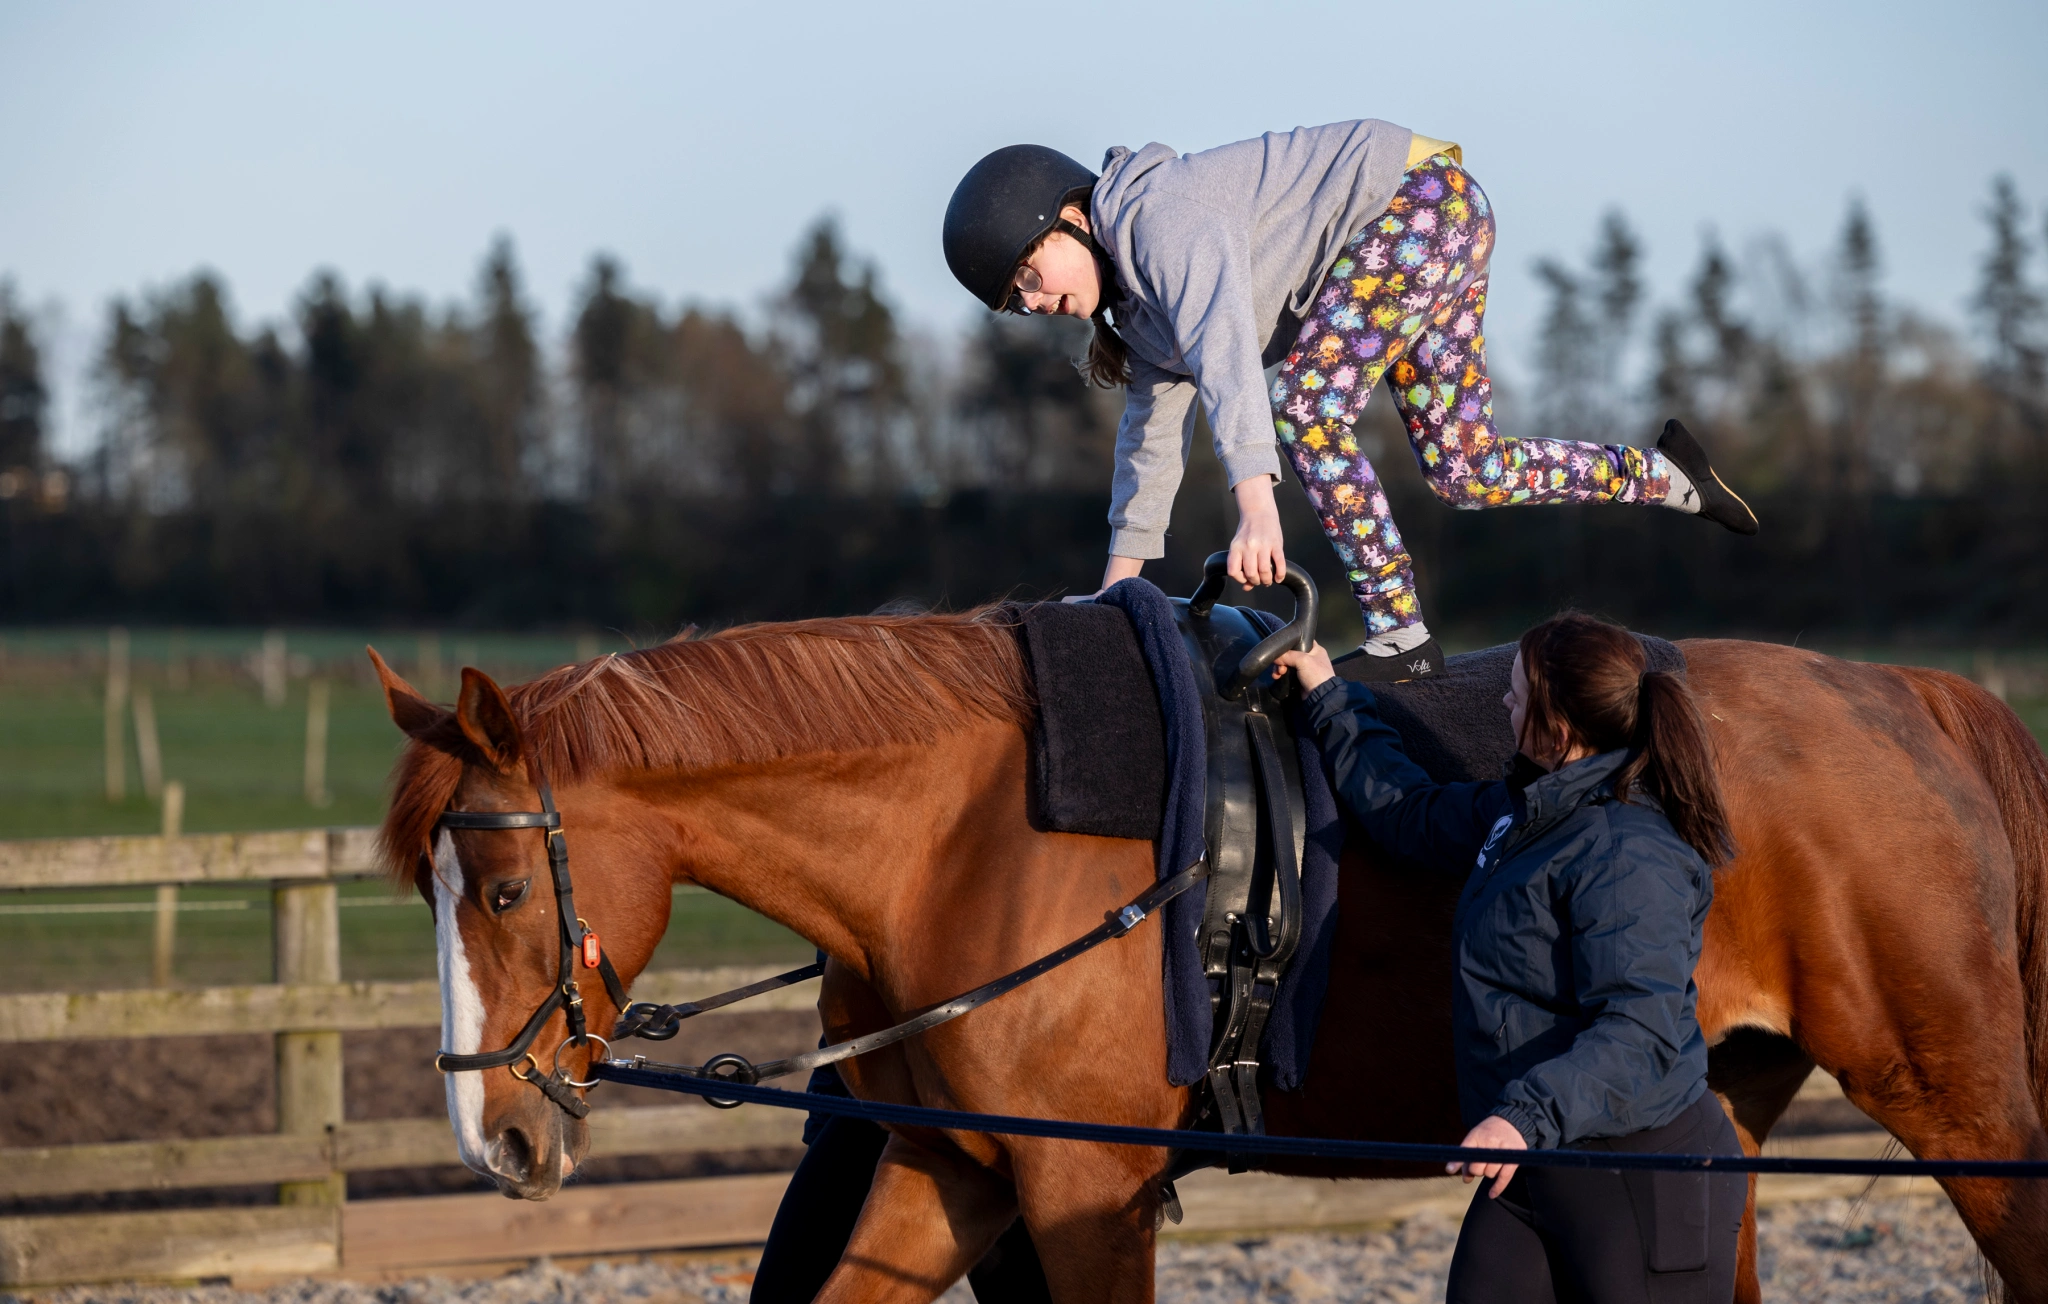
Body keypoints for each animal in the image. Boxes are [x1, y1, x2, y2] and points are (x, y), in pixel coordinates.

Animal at [376, 614, 2048, 1301]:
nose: (489, 1132)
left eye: (508, 888)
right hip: (1719, 1109)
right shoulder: (949, 1173)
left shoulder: (1085, 1194)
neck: (961, 833)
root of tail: (1913, 694)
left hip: (1957, 1098)